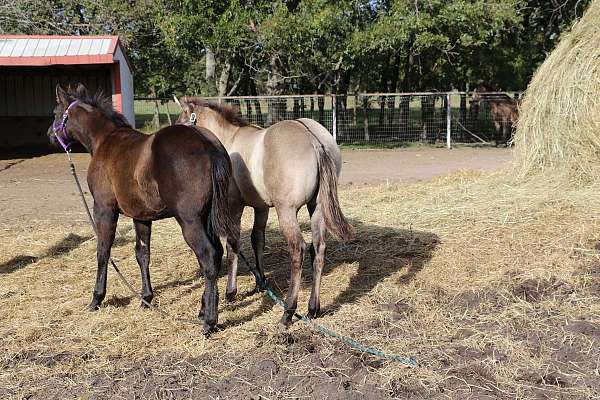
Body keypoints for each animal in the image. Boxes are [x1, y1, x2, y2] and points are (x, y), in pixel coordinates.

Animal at [47, 84, 234, 334]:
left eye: (55, 112)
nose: (50, 134)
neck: (105, 141)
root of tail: (208, 144)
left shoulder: (104, 210)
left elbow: (103, 251)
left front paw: (96, 298)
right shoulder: (141, 216)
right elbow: (142, 254)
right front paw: (146, 298)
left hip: (190, 221)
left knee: (208, 256)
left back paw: (209, 321)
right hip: (206, 218)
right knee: (216, 254)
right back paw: (203, 310)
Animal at [173, 98, 354, 326]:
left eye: (181, 124)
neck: (230, 139)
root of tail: (314, 140)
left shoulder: (233, 206)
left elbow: (233, 245)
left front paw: (230, 292)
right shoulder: (261, 207)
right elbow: (257, 239)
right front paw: (260, 282)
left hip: (287, 211)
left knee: (299, 250)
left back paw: (288, 311)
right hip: (317, 208)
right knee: (318, 248)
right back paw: (313, 308)